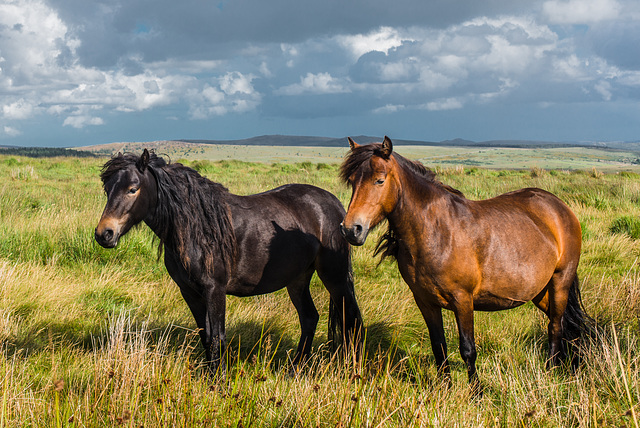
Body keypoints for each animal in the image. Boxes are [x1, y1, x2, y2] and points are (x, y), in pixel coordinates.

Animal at [97, 150, 362, 374]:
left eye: (133, 189)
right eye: (107, 189)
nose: (104, 234)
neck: (197, 228)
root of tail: (337, 205)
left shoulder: (215, 289)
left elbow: (218, 337)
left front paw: (219, 381)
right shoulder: (190, 293)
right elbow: (205, 336)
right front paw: (209, 377)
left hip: (335, 277)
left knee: (352, 320)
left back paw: (352, 370)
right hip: (297, 279)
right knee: (309, 318)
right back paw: (295, 369)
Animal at [340, 136, 592, 388]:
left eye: (379, 180)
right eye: (352, 182)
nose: (352, 230)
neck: (436, 231)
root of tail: (559, 207)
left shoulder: (462, 300)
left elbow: (468, 349)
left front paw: (476, 391)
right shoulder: (425, 301)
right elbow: (438, 345)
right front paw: (445, 388)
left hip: (560, 282)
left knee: (555, 326)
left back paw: (550, 371)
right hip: (539, 292)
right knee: (559, 322)